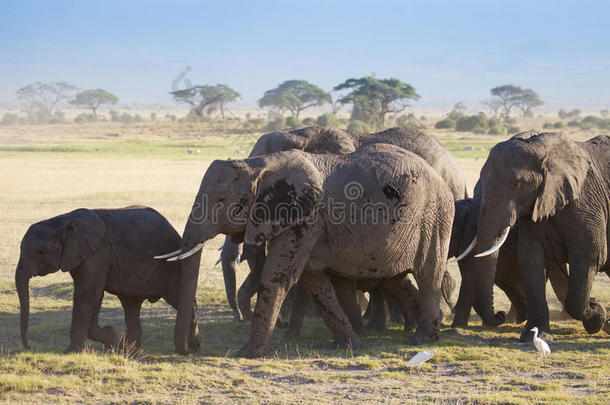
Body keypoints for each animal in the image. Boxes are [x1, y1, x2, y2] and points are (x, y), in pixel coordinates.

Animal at [15, 205, 198, 354]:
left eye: (40, 251)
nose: (29, 347)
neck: (62, 221)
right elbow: (94, 294)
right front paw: (111, 339)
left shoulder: (96, 254)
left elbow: (88, 293)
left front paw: (70, 352)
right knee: (131, 305)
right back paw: (129, 350)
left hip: (172, 267)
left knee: (178, 299)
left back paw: (193, 346)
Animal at [159, 143, 454, 356]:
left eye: (221, 200)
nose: (193, 348)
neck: (257, 165)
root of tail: (441, 178)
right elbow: (315, 281)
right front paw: (346, 345)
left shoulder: (306, 219)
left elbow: (279, 277)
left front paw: (246, 353)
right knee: (396, 279)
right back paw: (430, 326)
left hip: (435, 216)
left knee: (428, 274)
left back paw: (422, 338)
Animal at [456, 133, 608, 340]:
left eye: (518, 184)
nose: (500, 315)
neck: (543, 149)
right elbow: (530, 258)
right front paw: (534, 336)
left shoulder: (586, 205)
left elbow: (590, 256)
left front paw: (597, 315)